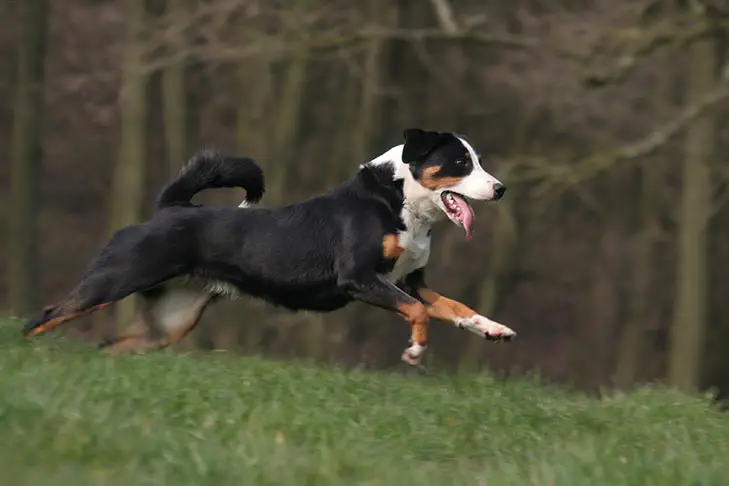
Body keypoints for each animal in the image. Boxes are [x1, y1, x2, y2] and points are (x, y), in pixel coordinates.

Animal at [21, 128, 512, 364]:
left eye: (478, 160)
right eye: (460, 162)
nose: (501, 189)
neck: (397, 201)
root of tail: (169, 208)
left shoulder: (410, 281)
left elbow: (452, 306)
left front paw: (492, 328)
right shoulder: (360, 278)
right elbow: (418, 314)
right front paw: (415, 351)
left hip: (171, 321)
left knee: (112, 346)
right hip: (115, 277)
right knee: (44, 316)